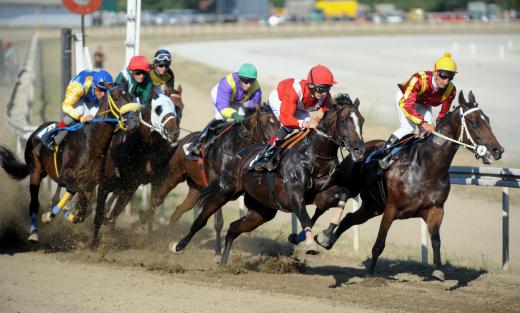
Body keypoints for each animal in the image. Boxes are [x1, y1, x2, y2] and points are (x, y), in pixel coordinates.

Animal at [0, 85, 141, 241]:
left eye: (131, 97)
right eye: (116, 98)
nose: (134, 121)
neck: (91, 144)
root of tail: (36, 132)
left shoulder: (91, 183)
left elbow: (84, 210)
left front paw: (68, 213)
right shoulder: (68, 177)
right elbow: (78, 196)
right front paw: (57, 213)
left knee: (61, 196)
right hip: (35, 170)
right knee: (34, 203)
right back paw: (34, 233)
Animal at [91, 92, 183, 246]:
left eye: (175, 109)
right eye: (158, 109)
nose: (174, 132)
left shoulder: (135, 185)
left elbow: (151, 205)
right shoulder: (105, 183)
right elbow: (100, 212)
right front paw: (94, 243)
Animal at [105, 103, 280, 258]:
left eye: (278, 123)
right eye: (264, 124)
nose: (277, 142)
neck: (233, 148)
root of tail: (184, 140)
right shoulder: (219, 188)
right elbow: (218, 221)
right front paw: (217, 252)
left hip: (196, 190)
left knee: (178, 211)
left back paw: (164, 238)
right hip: (173, 176)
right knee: (157, 199)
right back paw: (144, 220)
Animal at [171, 94, 366, 264]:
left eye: (361, 121)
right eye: (344, 121)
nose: (359, 150)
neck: (314, 156)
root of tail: (240, 154)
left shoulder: (320, 195)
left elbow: (342, 194)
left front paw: (325, 236)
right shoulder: (293, 195)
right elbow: (304, 215)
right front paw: (310, 243)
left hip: (261, 210)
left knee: (233, 228)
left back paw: (224, 263)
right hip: (225, 191)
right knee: (202, 220)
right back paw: (178, 246)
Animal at [312, 91, 504, 280]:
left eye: (487, 119)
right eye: (474, 122)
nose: (497, 150)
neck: (426, 168)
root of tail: (360, 147)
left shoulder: (436, 210)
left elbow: (436, 240)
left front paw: (438, 269)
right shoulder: (391, 208)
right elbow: (379, 244)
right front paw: (369, 273)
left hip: (373, 207)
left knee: (350, 218)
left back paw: (327, 240)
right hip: (346, 188)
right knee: (323, 204)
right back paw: (320, 236)